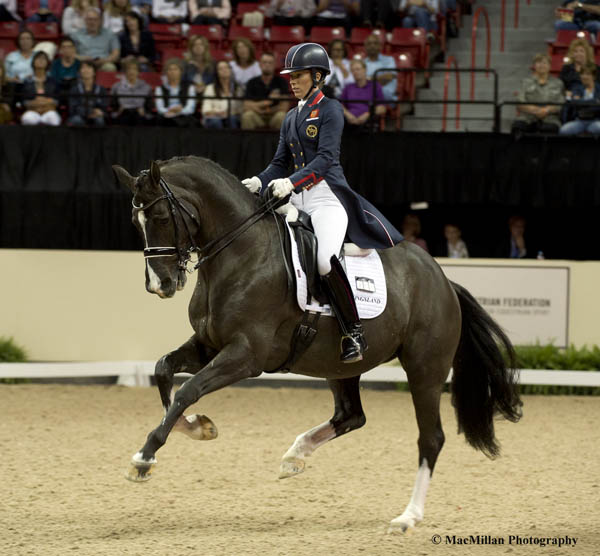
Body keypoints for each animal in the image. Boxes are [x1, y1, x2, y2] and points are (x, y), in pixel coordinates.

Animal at [111, 157, 520, 536]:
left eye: (160, 216)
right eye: (134, 222)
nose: (159, 284)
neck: (241, 253)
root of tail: (444, 281)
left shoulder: (245, 355)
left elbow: (187, 391)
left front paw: (144, 458)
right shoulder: (209, 345)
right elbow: (164, 371)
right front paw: (198, 427)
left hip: (424, 371)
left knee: (430, 438)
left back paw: (406, 518)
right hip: (340, 365)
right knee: (351, 415)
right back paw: (296, 455)